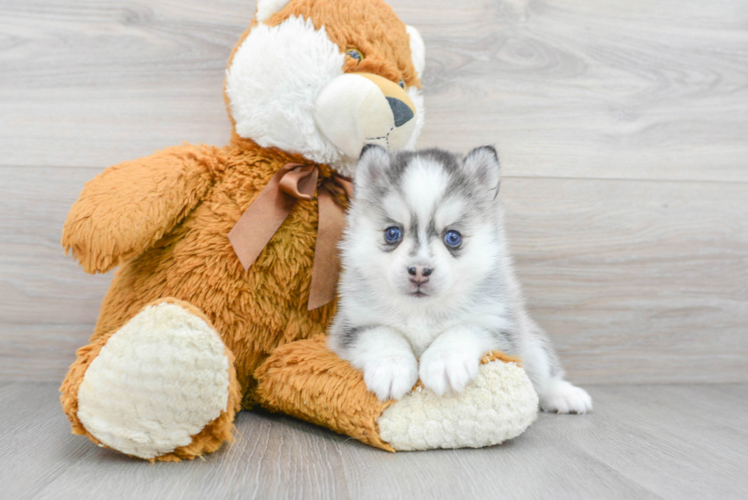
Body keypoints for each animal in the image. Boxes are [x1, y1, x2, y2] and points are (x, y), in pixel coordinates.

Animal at [330, 145, 592, 414]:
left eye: (453, 237)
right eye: (393, 233)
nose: (419, 270)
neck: (421, 311)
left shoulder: (498, 324)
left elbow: (463, 328)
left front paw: (445, 361)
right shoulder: (350, 325)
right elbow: (383, 333)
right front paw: (391, 366)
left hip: (528, 340)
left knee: (542, 371)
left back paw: (564, 394)